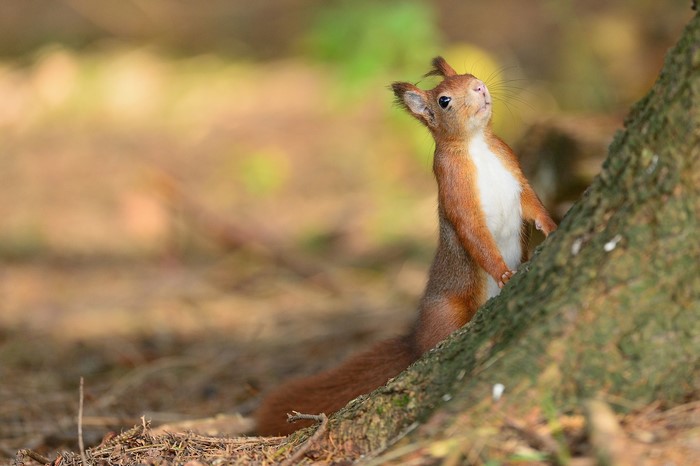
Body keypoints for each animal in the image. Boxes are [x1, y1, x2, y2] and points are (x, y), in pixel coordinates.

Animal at [255, 57, 557, 436]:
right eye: (444, 100)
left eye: (471, 76)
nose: (480, 87)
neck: (477, 145)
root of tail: (416, 339)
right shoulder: (455, 191)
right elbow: (475, 236)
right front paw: (503, 272)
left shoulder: (513, 171)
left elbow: (532, 203)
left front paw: (552, 225)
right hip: (448, 313)